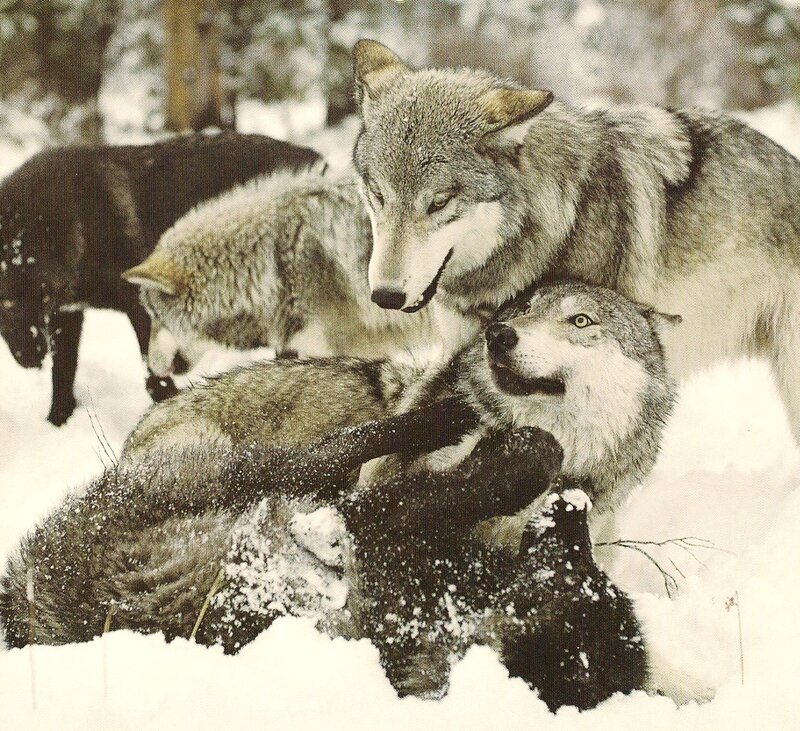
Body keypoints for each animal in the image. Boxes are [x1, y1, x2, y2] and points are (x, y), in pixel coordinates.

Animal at [0, 132, 320, 425]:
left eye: (39, 295)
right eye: (7, 304)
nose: (31, 356)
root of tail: (314, 156)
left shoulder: (139, 304)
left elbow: (153, 372)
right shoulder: (66, 315)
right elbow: (63, 376)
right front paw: (57, 423)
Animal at [0, 399, 646, 710]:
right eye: (584, 566)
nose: (577, 508)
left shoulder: (376, 536)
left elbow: (442, 492)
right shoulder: (383, 526)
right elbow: (469, 487)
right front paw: (527, 452)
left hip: (242, 494)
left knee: (335, 457)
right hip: (246, 478)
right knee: (342, 446)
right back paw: (445, 416)